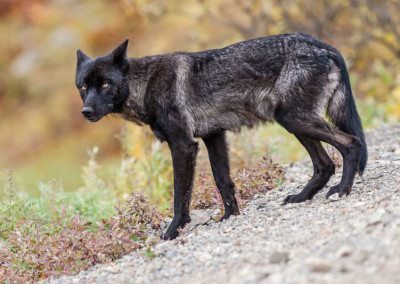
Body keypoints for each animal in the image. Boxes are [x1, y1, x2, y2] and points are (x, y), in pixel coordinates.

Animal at [76, 32, 368, 240]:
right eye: (83, 86)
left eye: (105, 84)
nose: (86, 112)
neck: (146, 84)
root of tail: (326, 46)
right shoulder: (214, 137)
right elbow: (223, 181)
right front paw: (230, 216)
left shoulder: (183, 146)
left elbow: (180, 196)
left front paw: (173, 232)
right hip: (294, 123)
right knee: (325, 164)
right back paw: (301, 197)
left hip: (295, 120)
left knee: (350, 143)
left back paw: (342, 190)